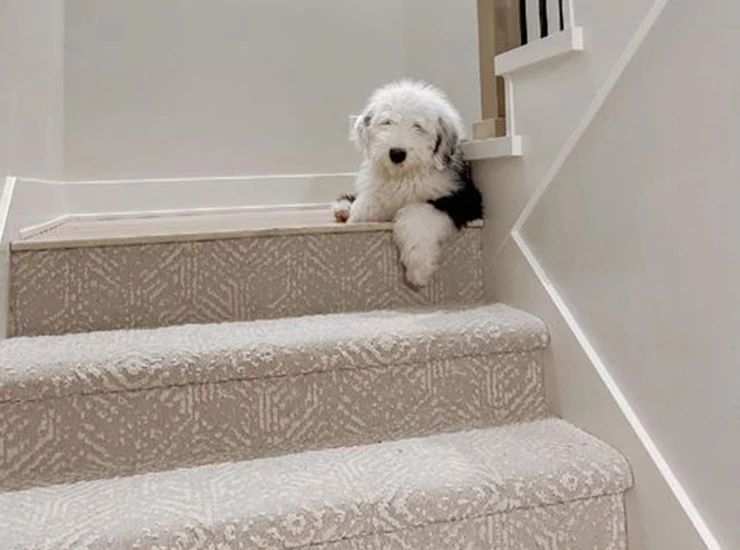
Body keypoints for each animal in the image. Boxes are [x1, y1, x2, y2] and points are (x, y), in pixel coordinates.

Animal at [332, 83, 482, 288]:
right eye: (387, 122)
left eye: (418, 126)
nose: (396, 153)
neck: (404, 176)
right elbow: (364, 208)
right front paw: (354, 215)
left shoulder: (464, 197)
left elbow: (417, 213)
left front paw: (419, 268)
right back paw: (341, 208)